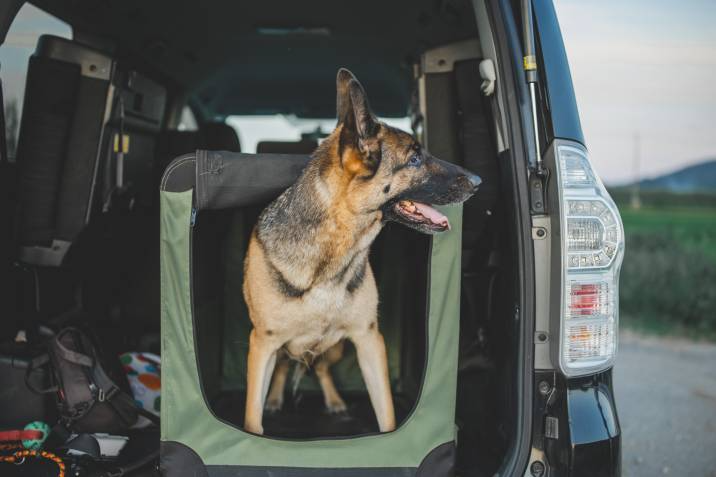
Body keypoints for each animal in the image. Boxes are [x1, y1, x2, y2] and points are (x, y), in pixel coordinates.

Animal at [243, 69, 484, 434]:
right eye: (415, 158)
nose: (479, 180)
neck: (334, 252)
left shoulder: (368, 339)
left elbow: (387, 414)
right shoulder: (263, 344)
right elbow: (252, 421)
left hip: (336, 348)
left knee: (321, 368)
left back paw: (335, 402)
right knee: (286, 365)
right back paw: (275, 399)